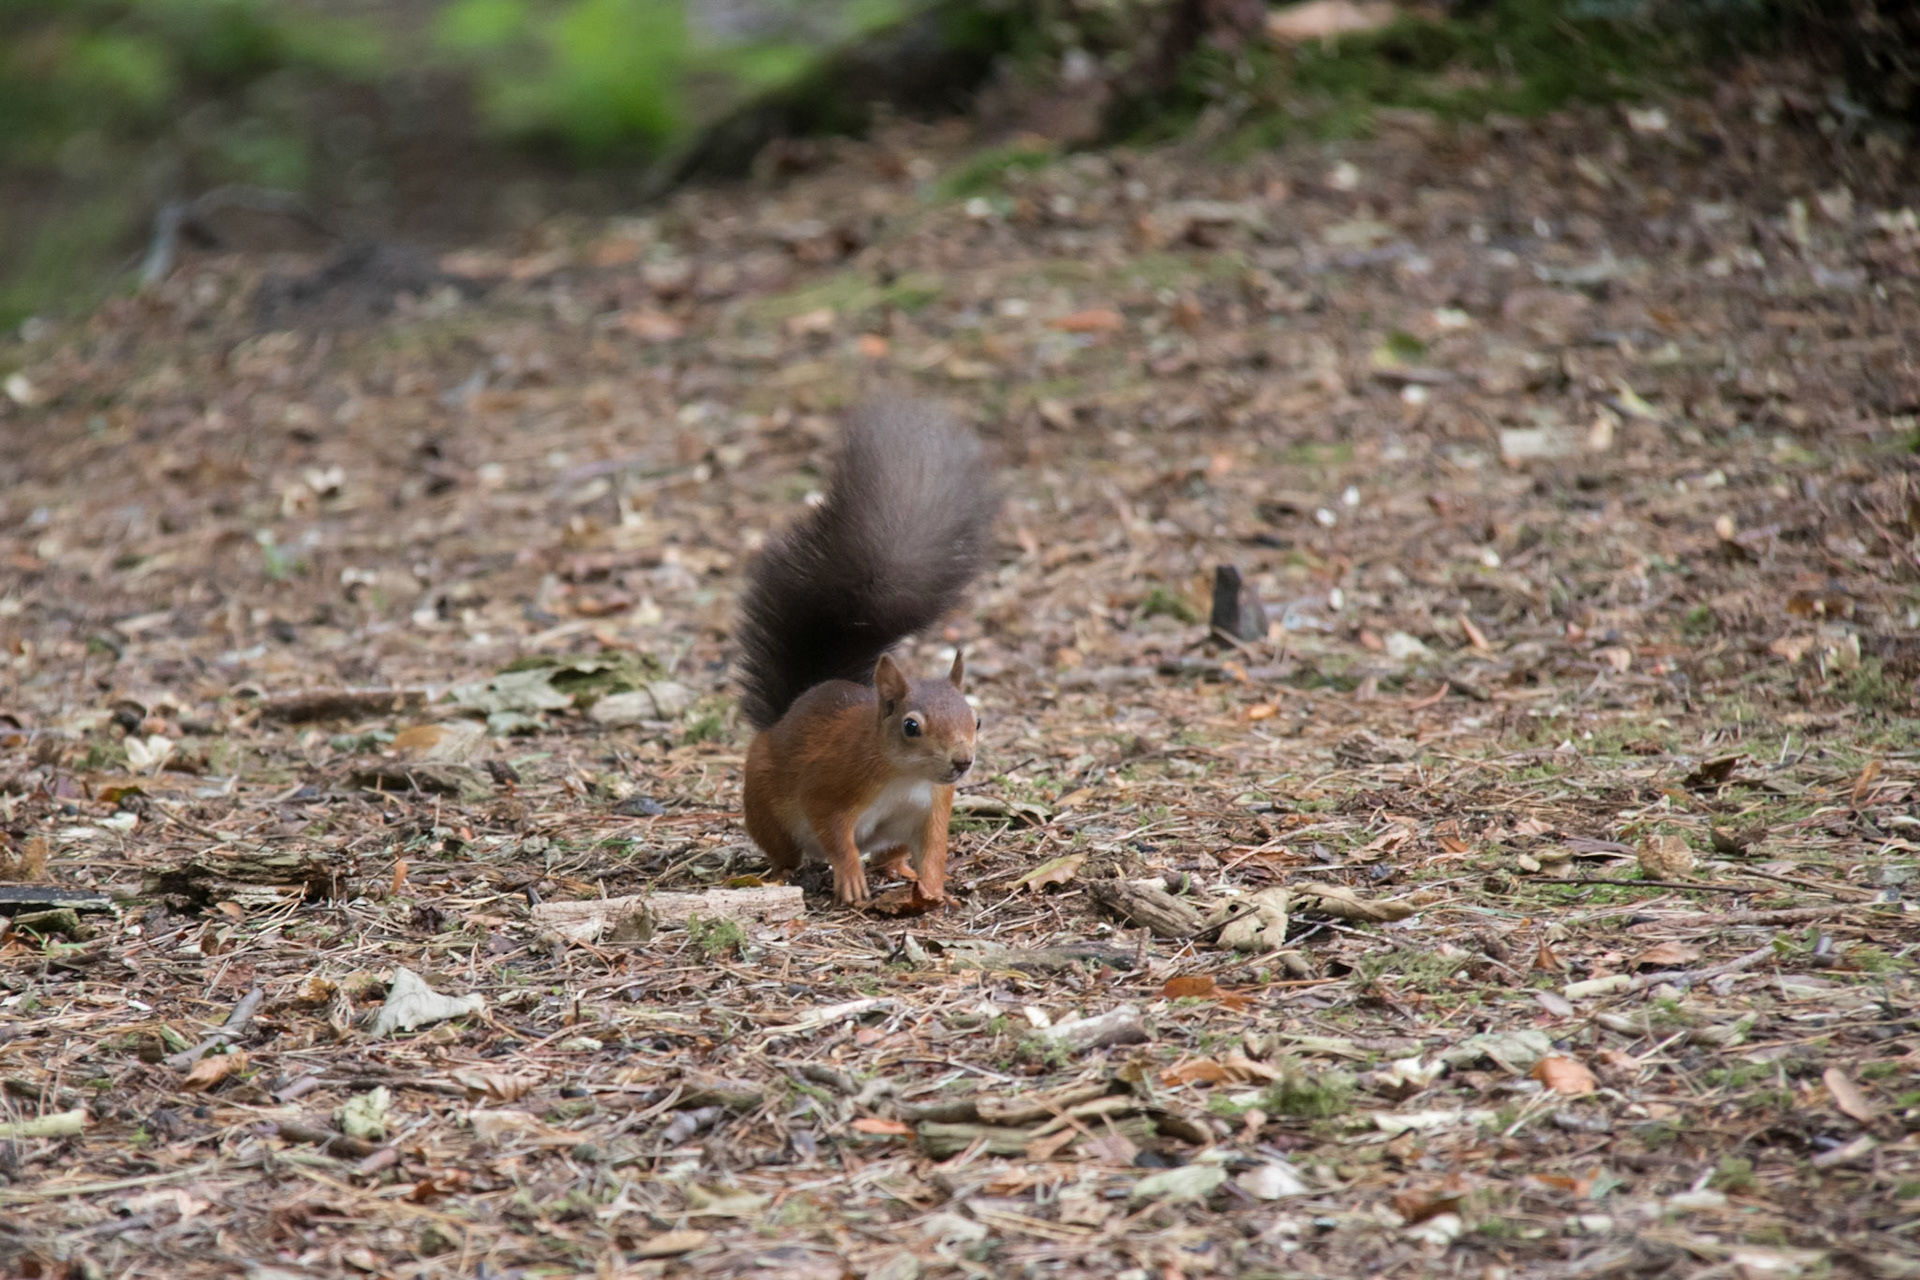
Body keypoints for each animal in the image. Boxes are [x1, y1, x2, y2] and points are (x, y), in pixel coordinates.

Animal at [734, 401, 999, 906]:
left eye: (976, 720)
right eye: (911, 726)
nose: (962, 762)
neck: (903, 777)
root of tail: (783, 718)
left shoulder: (934, 808)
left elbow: (934, 849)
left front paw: (933, 888)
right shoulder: (831, 786)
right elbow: (834, 833)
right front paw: (850, 879)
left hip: (893, 834)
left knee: (889, 854)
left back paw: (900, 871)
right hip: (764, 805)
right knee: (784, 850)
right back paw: (781, 875)